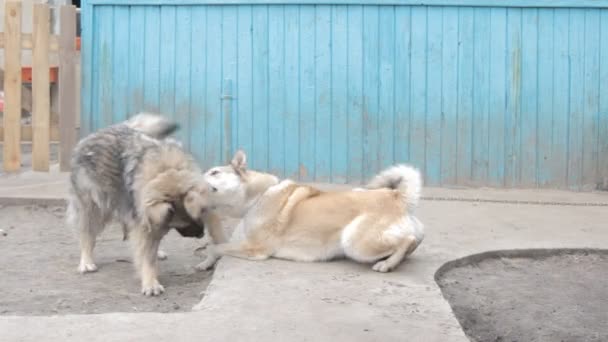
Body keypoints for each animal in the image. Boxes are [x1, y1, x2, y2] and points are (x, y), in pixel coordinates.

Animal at [67, 113, 211, 296]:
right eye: (185, 223)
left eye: (200, 214)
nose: (201, 234)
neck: (166, 171)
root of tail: (91, 136)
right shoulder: (145, 222)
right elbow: (146, 256)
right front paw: (150, 283)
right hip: (93, 206)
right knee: (87, 233)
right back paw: (86, 261)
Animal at [196, 150, 422, 272]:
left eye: (214, 172)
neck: (259, 196)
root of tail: (396, 196)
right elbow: (216, 246)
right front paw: (207, 263)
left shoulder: (255, 249)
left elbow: (214, 247)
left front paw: (207, 260)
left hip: (354, 242)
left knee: (408, 240)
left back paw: (388, 264)